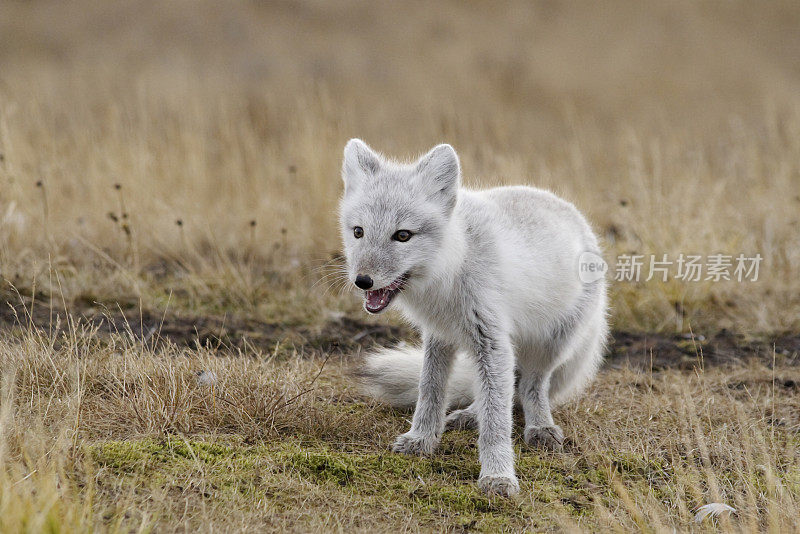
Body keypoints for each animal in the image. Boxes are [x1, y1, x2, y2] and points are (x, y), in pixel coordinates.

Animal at [338, 138, 608, 498]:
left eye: (403, 236)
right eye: (358, 232)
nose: (362, 281)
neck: (450, 270)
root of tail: (576, 216)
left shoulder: (492, 341)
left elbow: (497, 421)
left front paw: (498, 475)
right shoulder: (439, 336)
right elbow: (430, 392)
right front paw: (421, 440)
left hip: (548, 346)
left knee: (529, 388)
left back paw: (539, 426)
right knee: (502, 390)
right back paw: (469, 415)